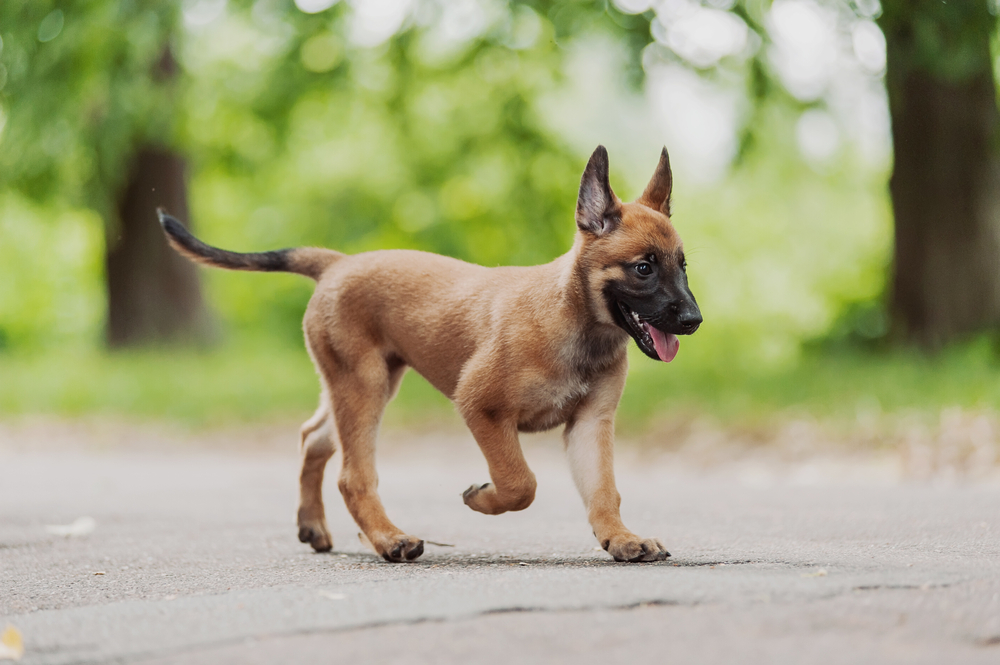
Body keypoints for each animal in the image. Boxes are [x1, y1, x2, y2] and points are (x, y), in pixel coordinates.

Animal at [158, 145, 704, 560]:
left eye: (682, 266)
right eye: (643, 268)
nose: (693, 320)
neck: (573, 318)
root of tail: (337, 264)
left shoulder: (591, 425)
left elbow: (603, 490)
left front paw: (621, 538)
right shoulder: (482, 407)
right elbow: (521, 483)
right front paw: (483, 499)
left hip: (360, 386)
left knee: (313, 439)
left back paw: (316, 527)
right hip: (364, 388)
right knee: (353, 475)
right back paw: (388, 539)